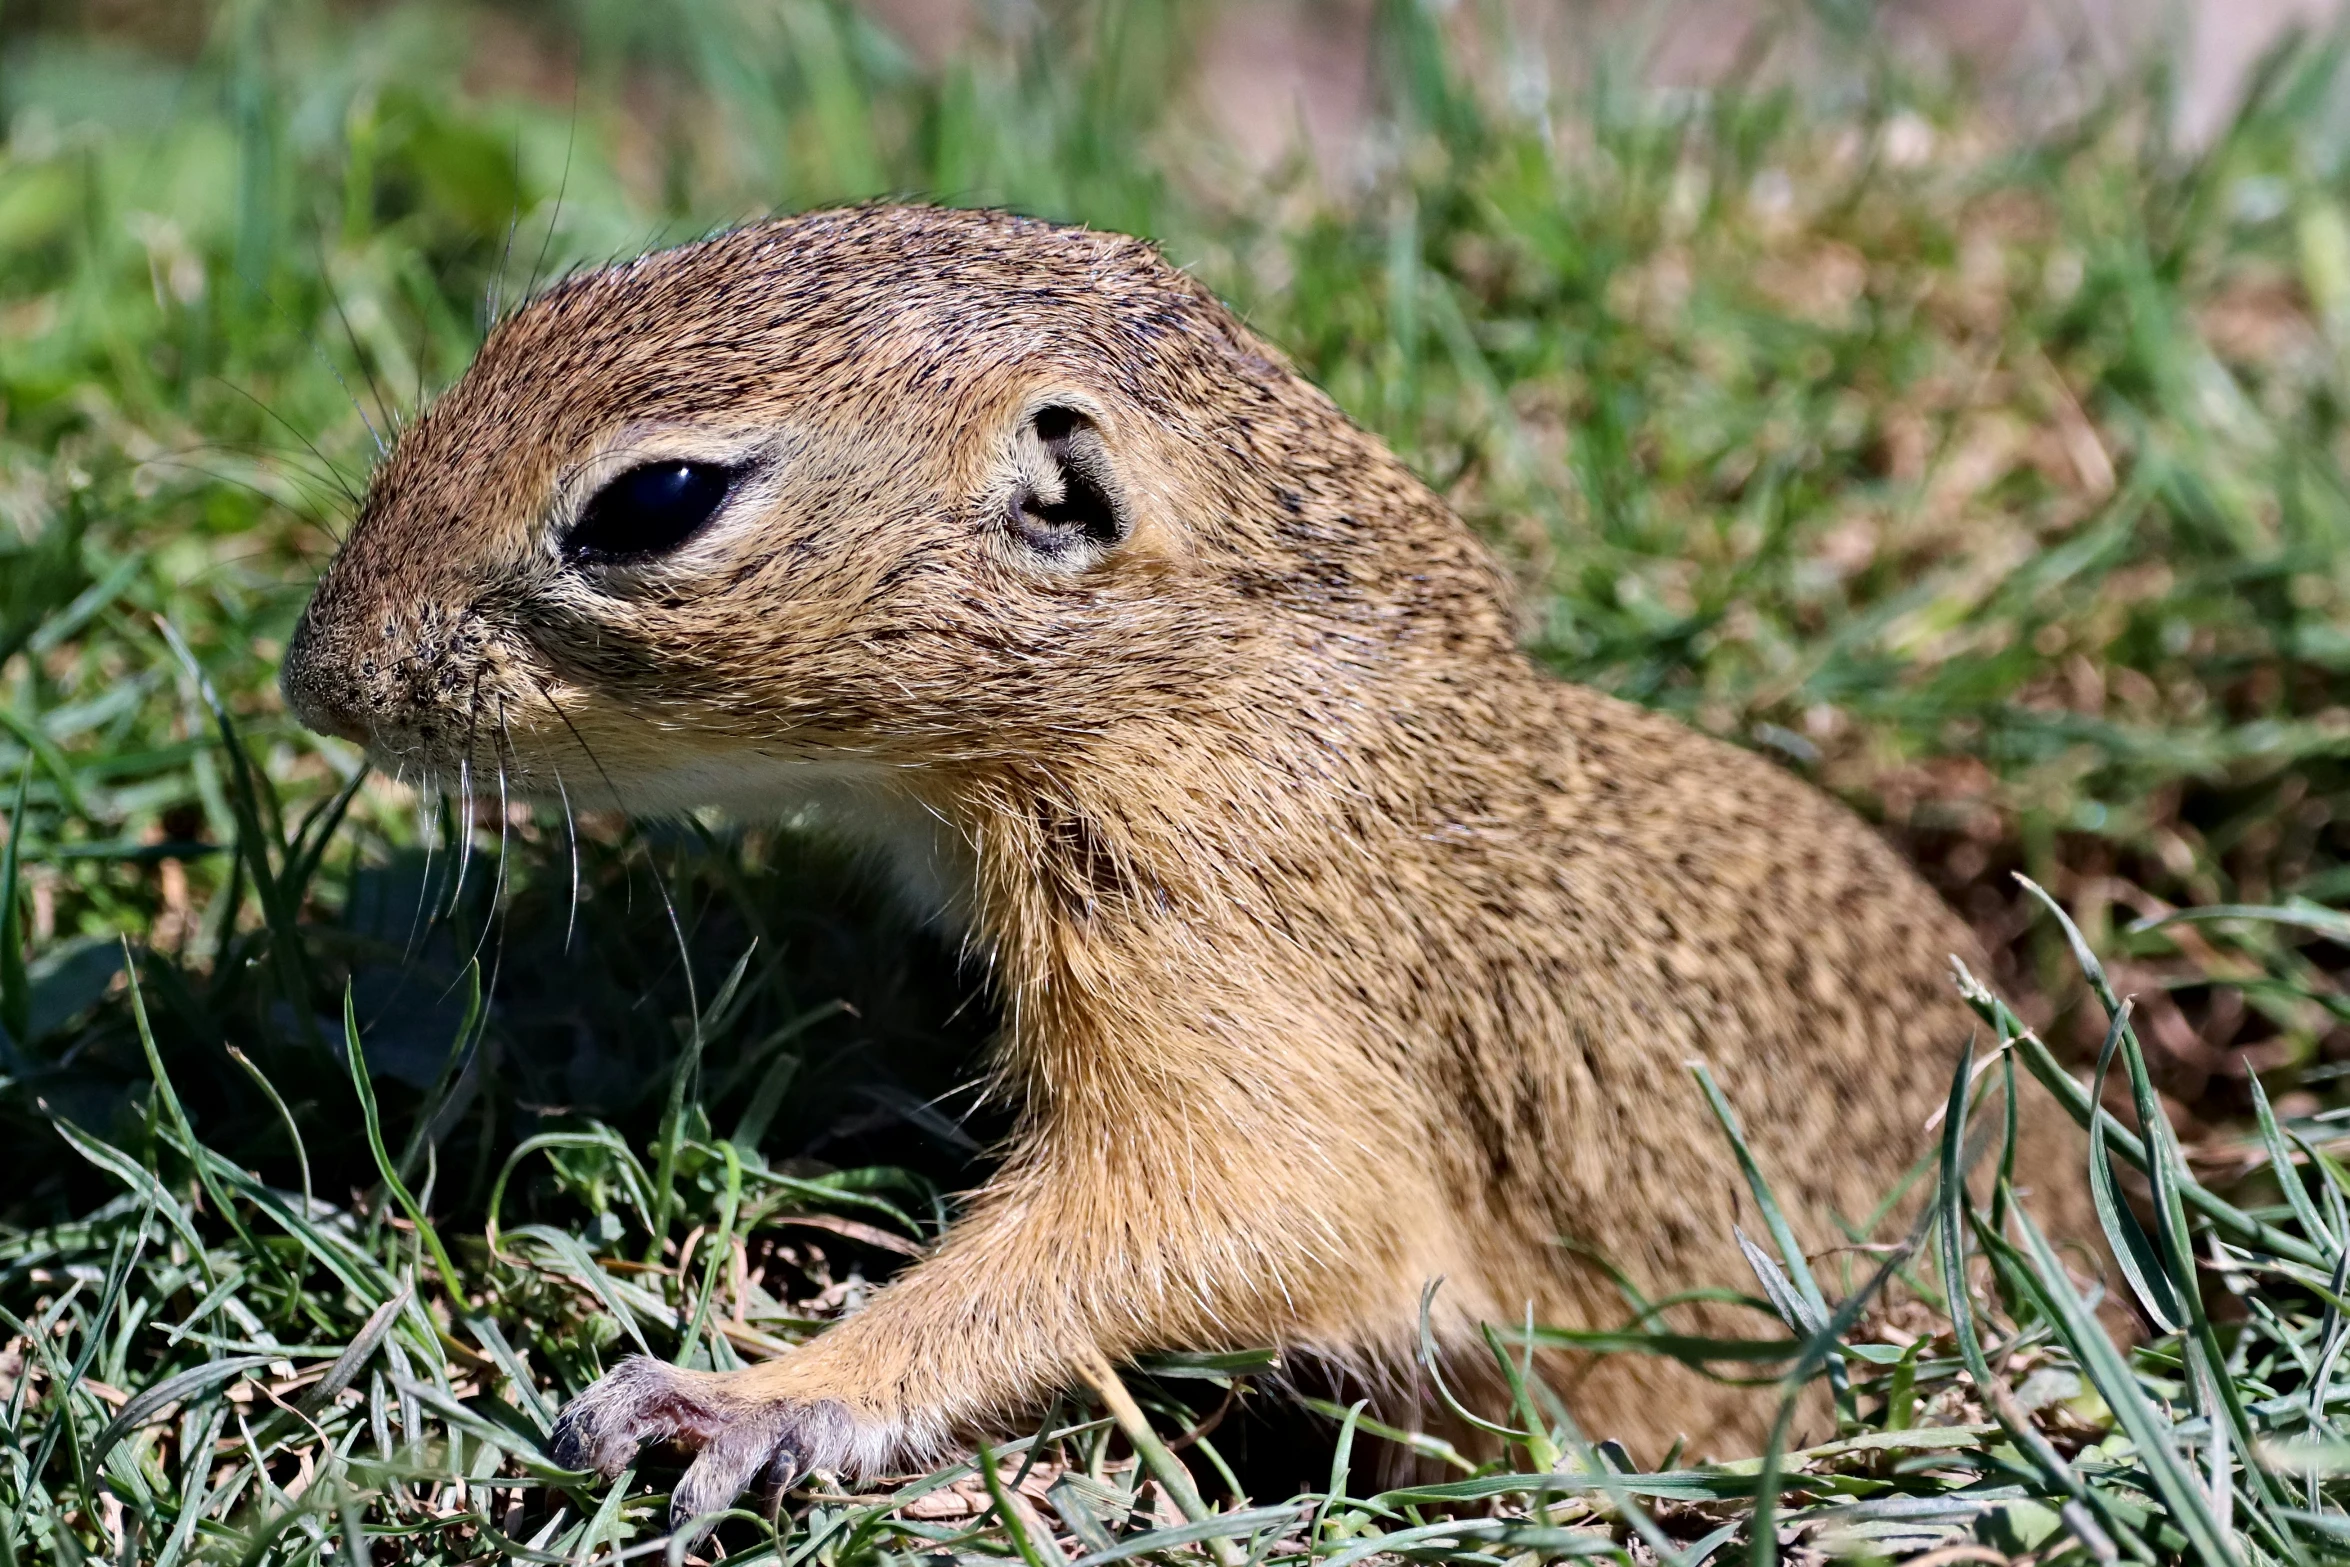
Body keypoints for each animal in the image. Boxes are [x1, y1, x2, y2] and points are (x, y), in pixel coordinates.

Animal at [279, 202, 2096, 1522]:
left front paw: (757, 1397)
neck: (1201, 681)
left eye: (656, 498)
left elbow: (1235, 1207)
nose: (318, 673)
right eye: (529, 317)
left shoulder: (1206, 946)